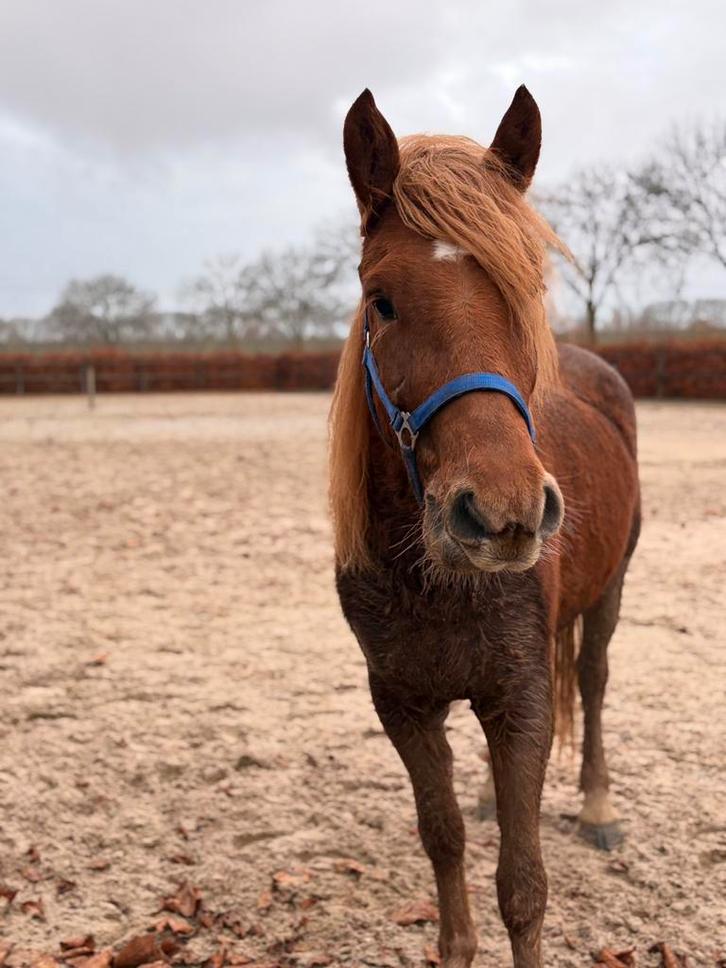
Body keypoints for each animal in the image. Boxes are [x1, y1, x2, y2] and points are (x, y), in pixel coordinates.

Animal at [328, 86, 640, 967]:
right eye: (381, 300)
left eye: (524, 288)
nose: (501, 512)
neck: (430, 579)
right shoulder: (402, 703)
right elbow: (444, 840)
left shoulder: (522, 694)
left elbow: (523, 888)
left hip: (612, 591)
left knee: (594, 682)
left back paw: (598, 808)